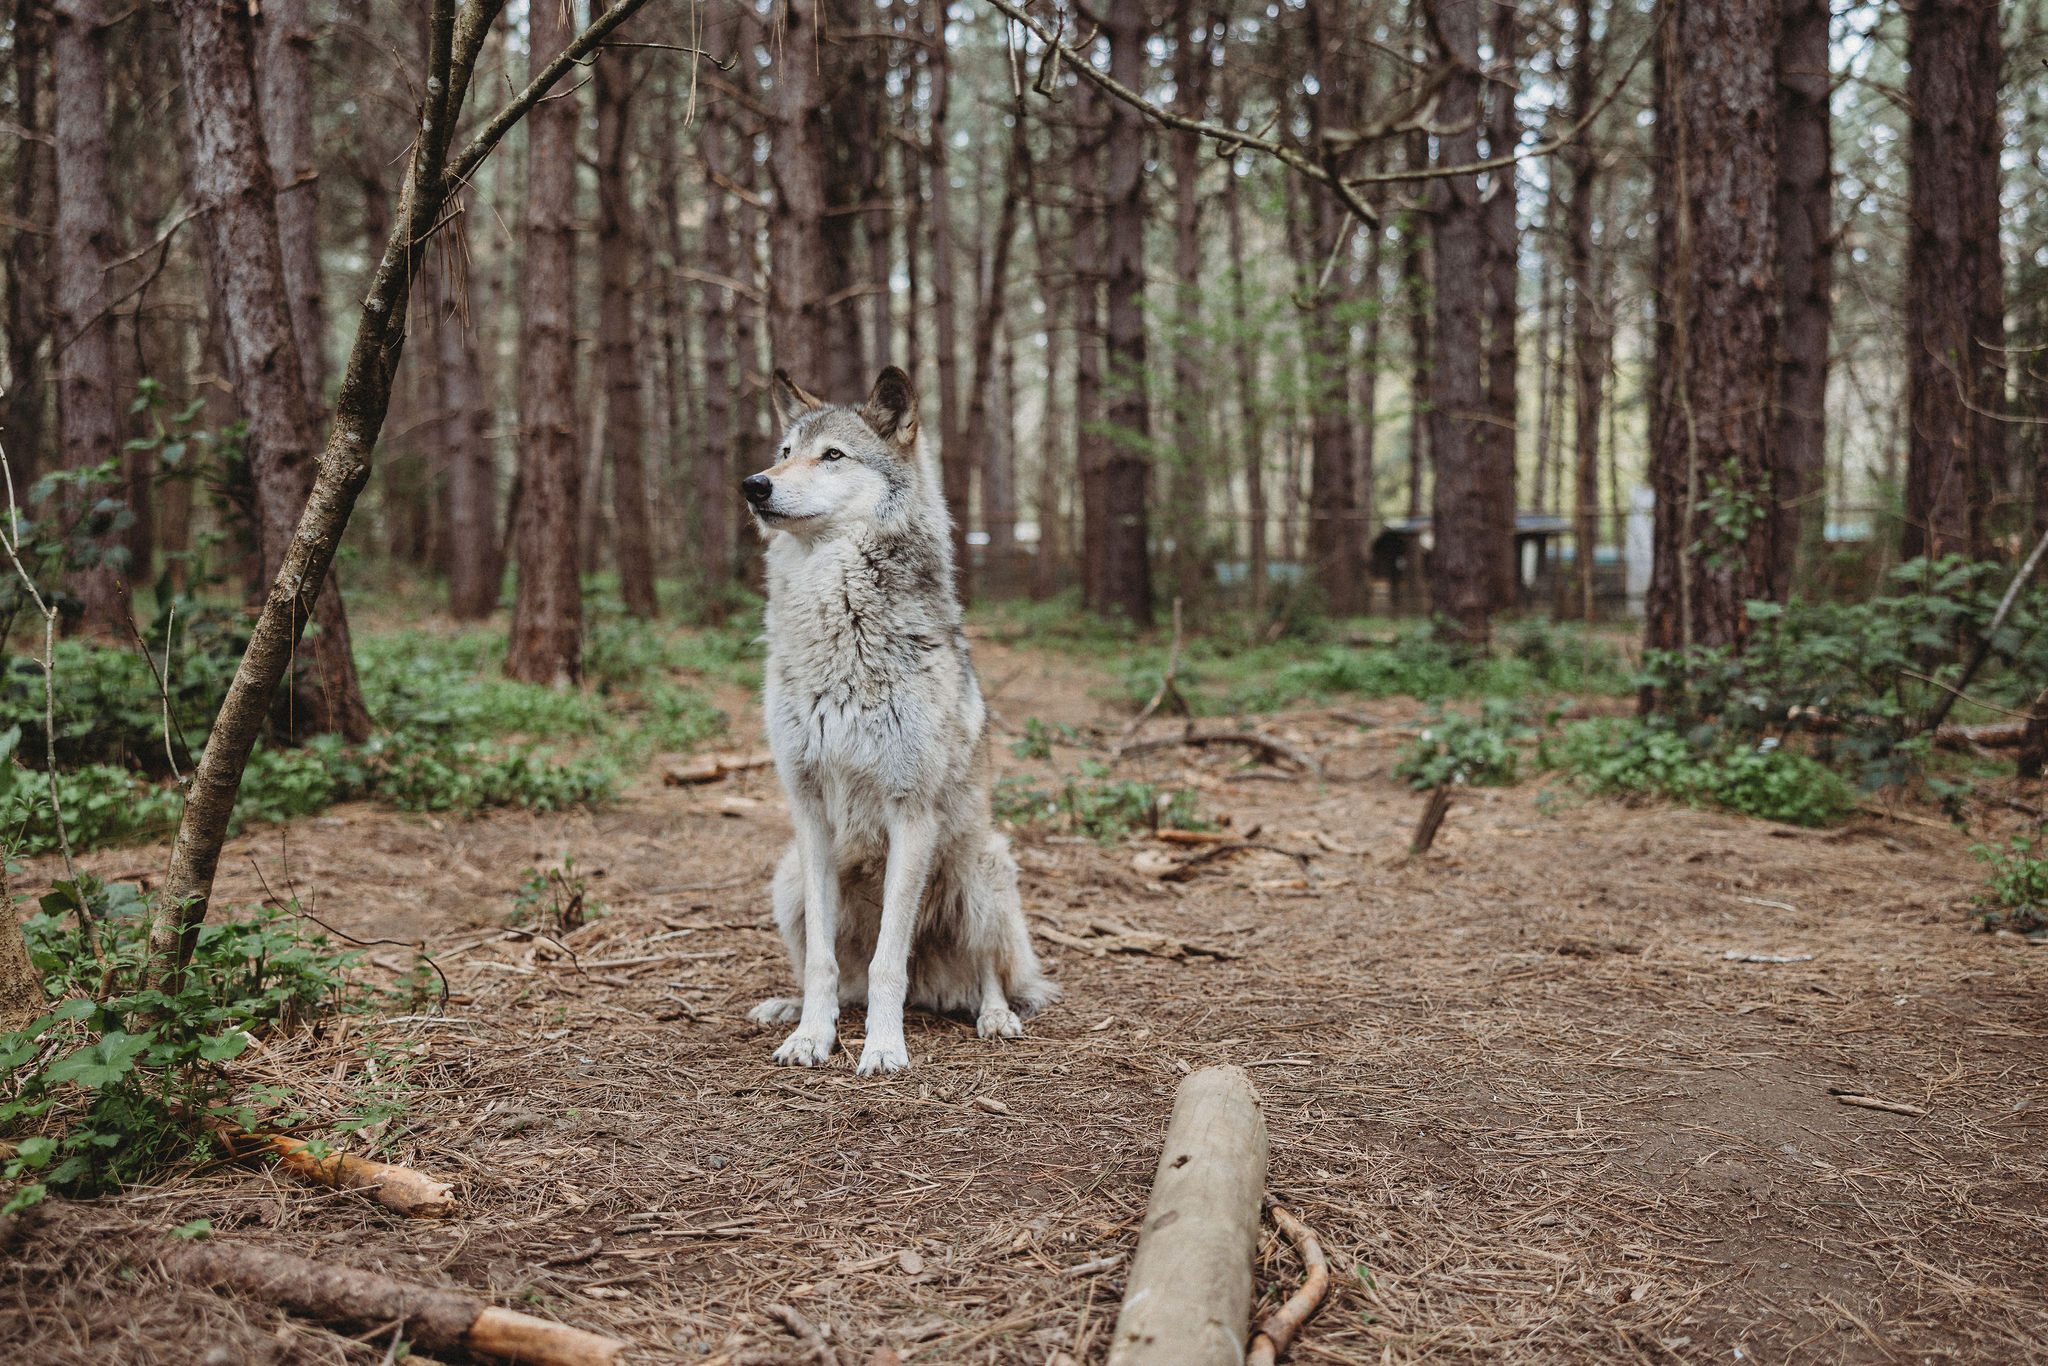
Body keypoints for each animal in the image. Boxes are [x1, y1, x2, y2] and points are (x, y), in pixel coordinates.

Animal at [739, 365, 1058, 1075]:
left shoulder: (910, 810)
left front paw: (883, 1047)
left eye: (833, 456)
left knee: (989, 973)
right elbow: (826, 963)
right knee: (837, 975)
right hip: (786, 879)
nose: (754, 484)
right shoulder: (808, 809)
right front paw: (812, 1036)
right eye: (784, 452)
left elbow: (891, 960)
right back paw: (787, 1007)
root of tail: (934, 994)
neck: (840, 633)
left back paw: (993, 1016)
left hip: (981, 867)